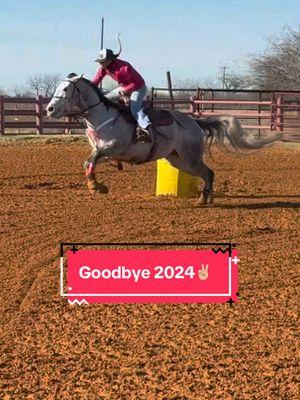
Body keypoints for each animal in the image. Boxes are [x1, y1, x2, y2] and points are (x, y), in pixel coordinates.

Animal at [46, 75, 284, 205]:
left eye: (65, 89)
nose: (49, 109)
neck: (103, 116)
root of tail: (195, 123)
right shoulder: (106, 152)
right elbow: (89, 162)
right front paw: (97, 185)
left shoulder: (114, 148)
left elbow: (91, 160)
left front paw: (96, 187)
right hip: (178, 160)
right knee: (207, 173)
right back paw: (206, 198)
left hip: (190, 157)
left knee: (208, 173)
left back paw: (203, 199)